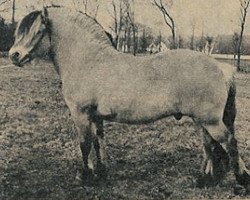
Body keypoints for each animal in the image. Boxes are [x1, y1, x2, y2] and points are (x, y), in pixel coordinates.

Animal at [8, 7, 249, 190]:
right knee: (209, 146)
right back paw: (206, 179)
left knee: (228, 142)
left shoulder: (81, 114)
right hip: (202, 121)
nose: (14, 55)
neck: (88, 61)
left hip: (210, 121)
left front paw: (85, 177)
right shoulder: (95, 116)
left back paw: (240, 179)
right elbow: (98, 142)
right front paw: (101, 174)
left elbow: (84, 144)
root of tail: (221, 67)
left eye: (38, 31)